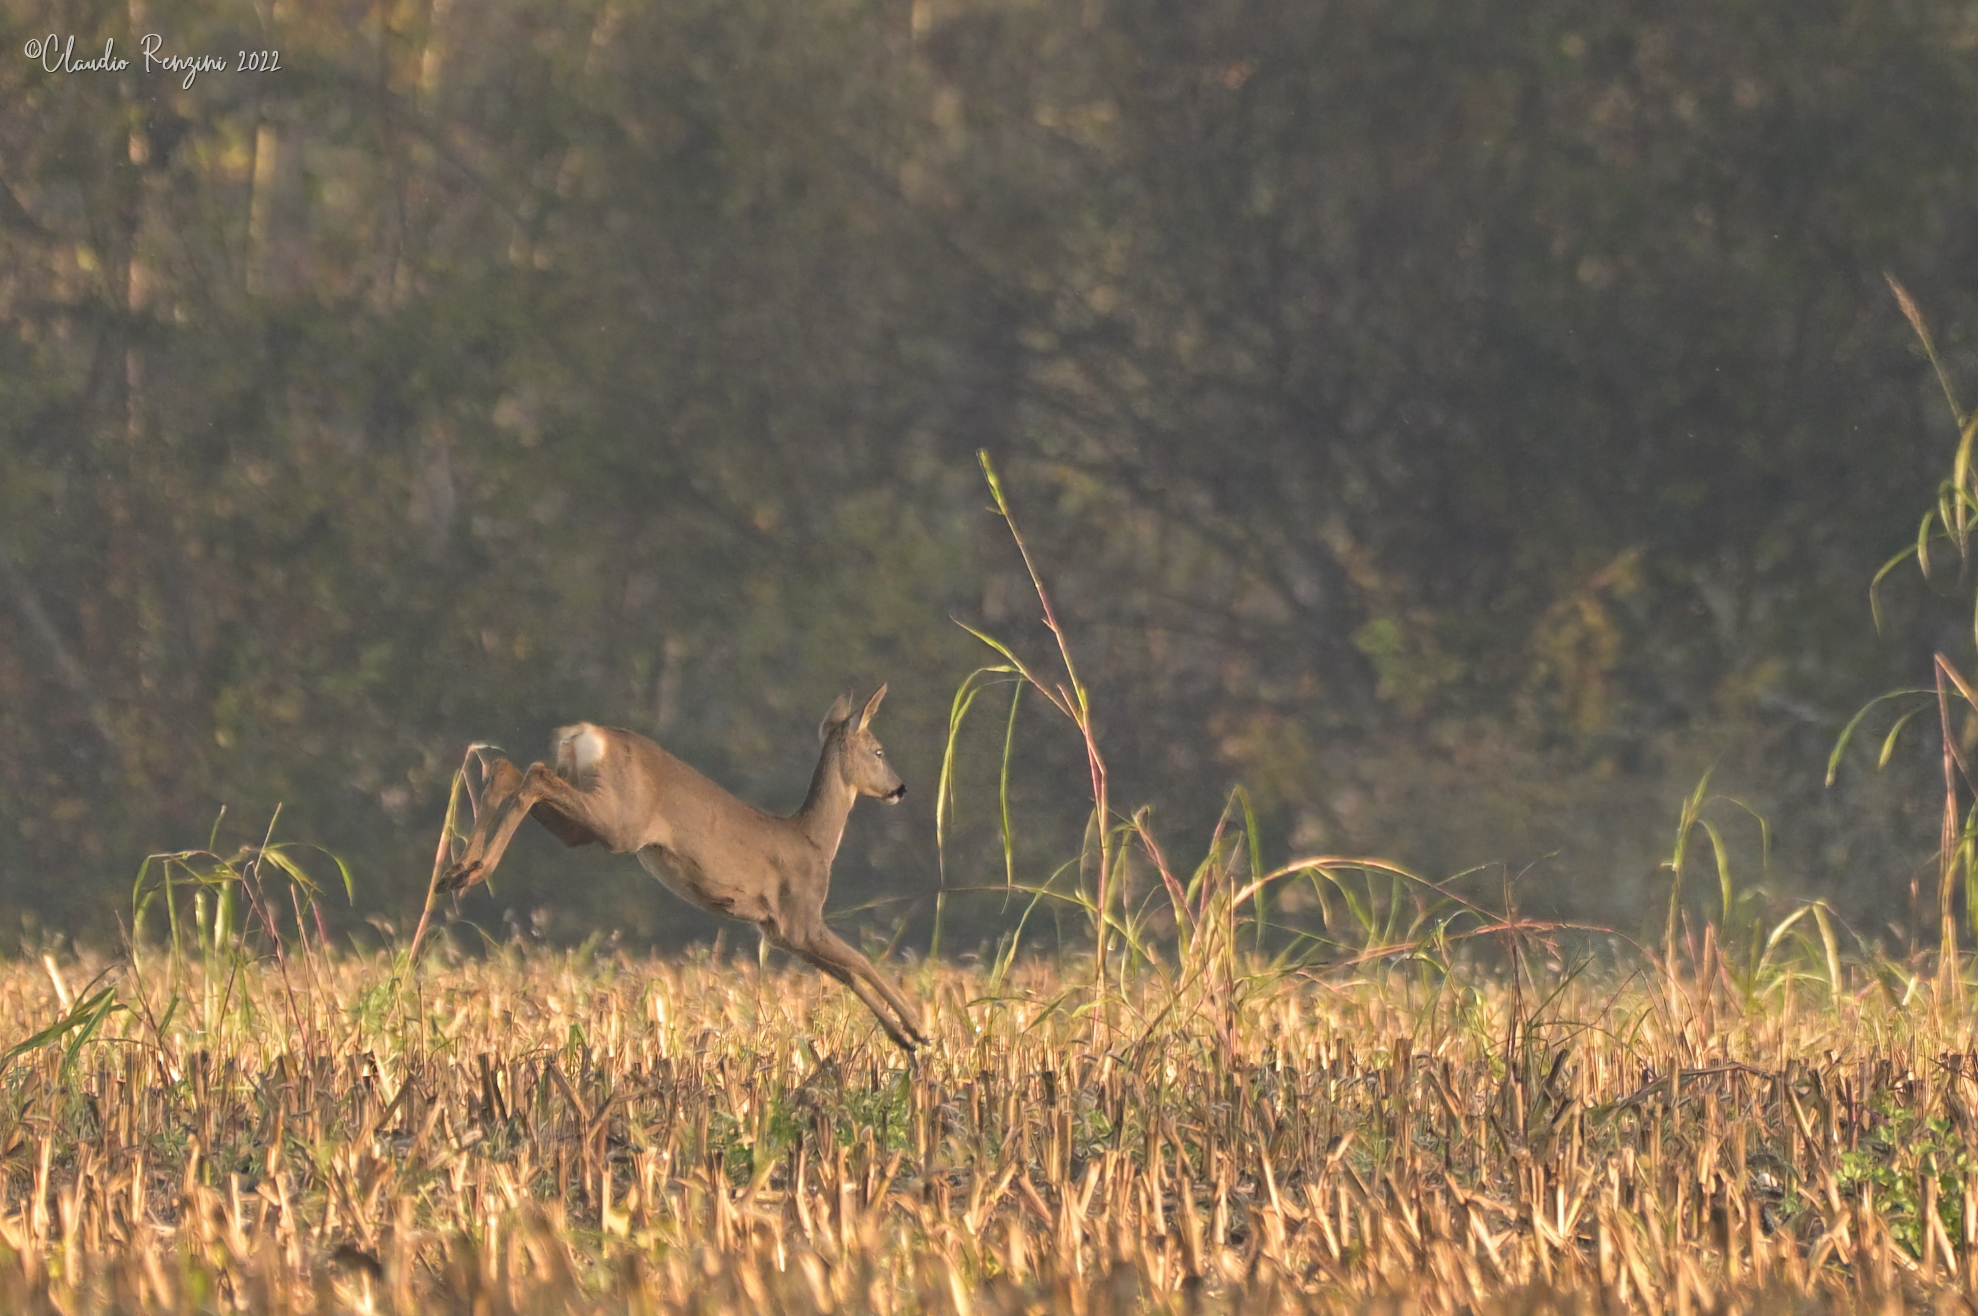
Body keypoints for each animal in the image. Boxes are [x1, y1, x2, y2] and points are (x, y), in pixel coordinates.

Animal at [436, 686, 928, 1052]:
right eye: (879, 750)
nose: (901, 788)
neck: (814, 841)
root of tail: (585, 734)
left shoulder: (779, 932)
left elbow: (846, 973)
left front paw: (902, 1038)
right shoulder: (800, 916)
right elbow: (862, 961)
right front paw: (920, 1029)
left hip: (585, 823)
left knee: (508, 770)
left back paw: (458, 871)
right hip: (618, 821)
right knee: (534, 776)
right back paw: (473, 871)